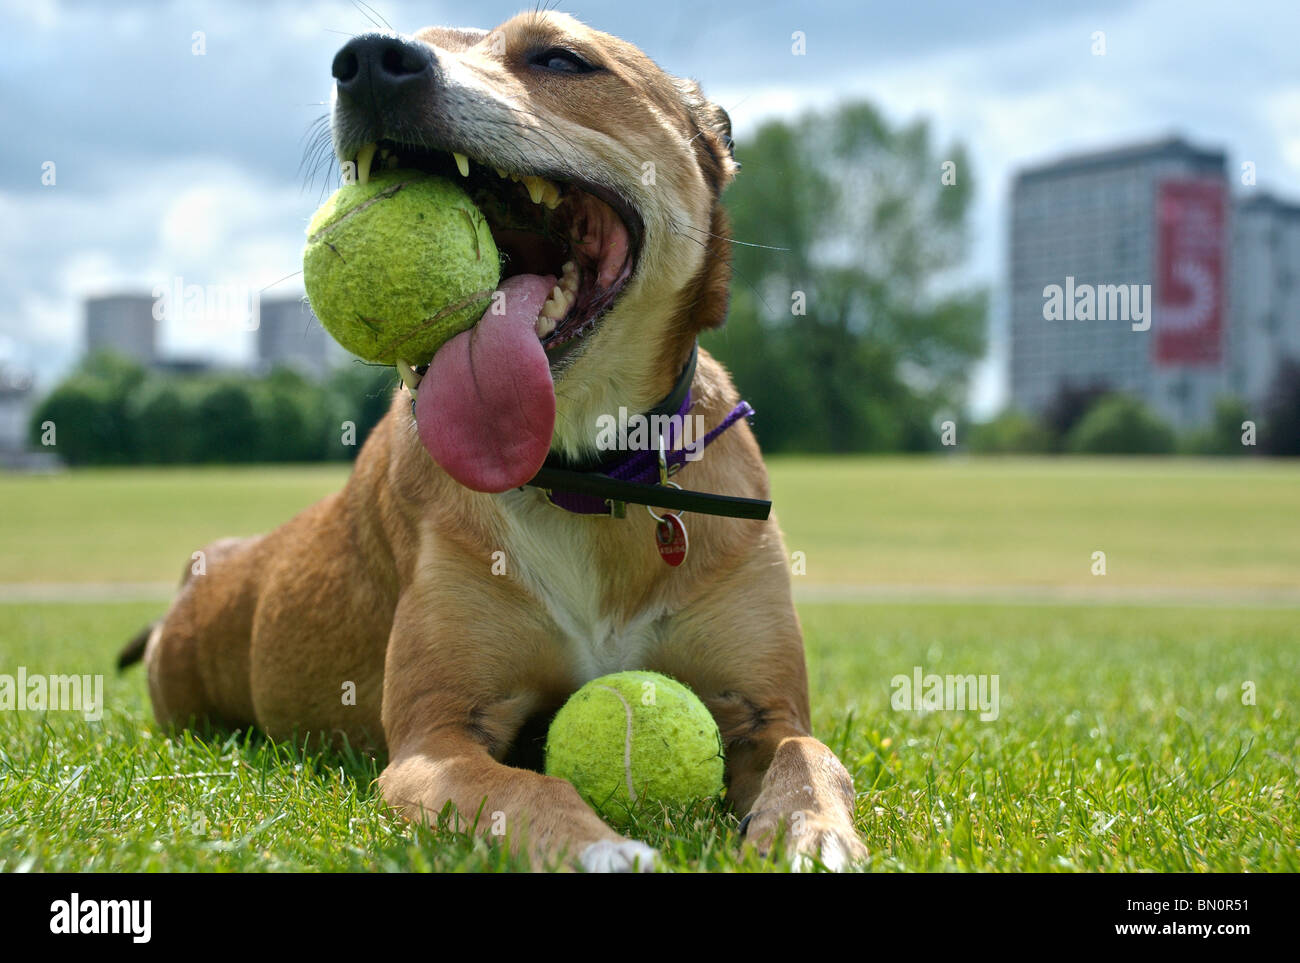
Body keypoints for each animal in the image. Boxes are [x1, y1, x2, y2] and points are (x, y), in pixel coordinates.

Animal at [122, 11, 868, 873]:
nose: (367, 62)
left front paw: (812, 833)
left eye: (560, 59)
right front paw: (604, 848)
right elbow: (524, 789)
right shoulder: (435, 738)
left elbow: (809, 759)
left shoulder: (765, 708)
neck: (585, 479)